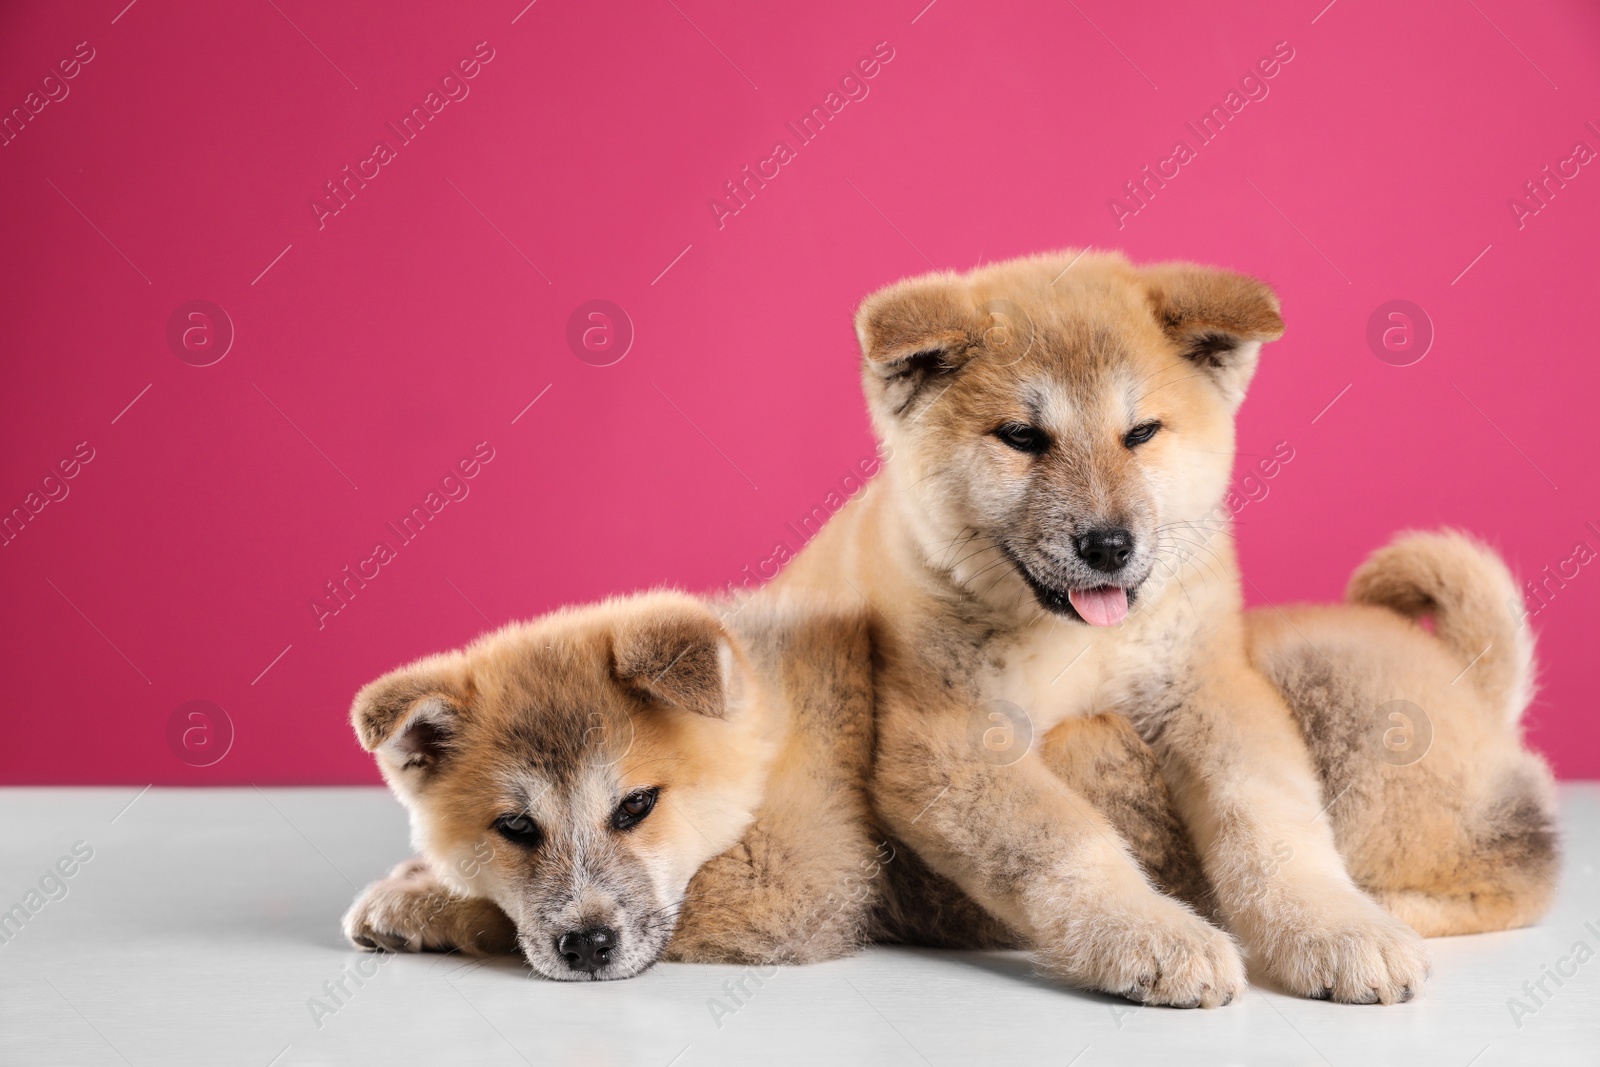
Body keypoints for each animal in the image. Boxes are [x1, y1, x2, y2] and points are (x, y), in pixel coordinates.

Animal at [768, 252, 1555, 1011]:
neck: (1083, 641)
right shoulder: (950, 741)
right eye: (1022, 437)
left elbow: (1273, 825)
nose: (1108, 545)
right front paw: (1154, 937)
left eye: (1141, 433)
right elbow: (1071, 841)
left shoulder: (1211, 693)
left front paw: (1335, 926)